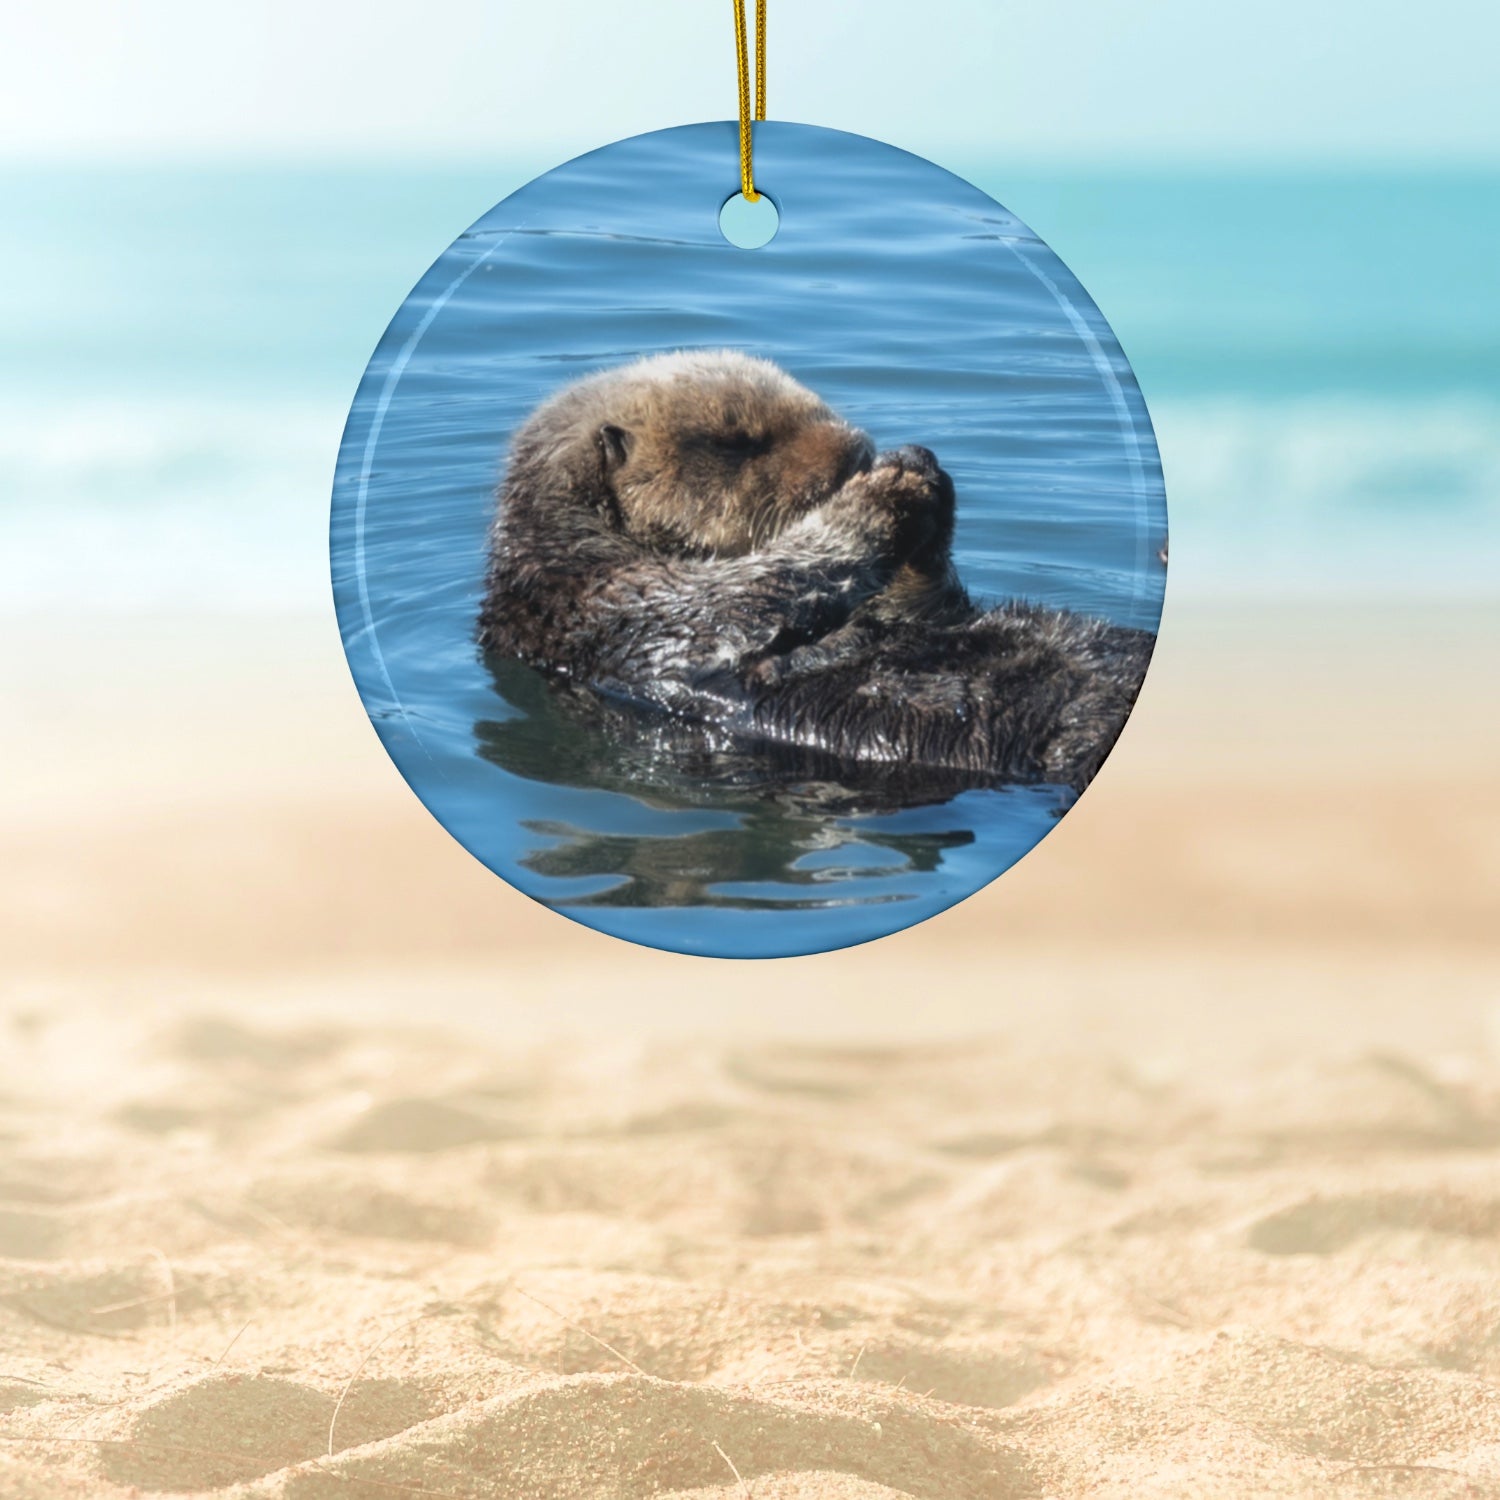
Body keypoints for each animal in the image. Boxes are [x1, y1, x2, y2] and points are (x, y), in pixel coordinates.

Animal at [477, 350, 1154, 794]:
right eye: (739, 442)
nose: (858, 450)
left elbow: (923, 607)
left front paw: (917, 467)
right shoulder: (616, 604)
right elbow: (741, 595)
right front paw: (886, 490)